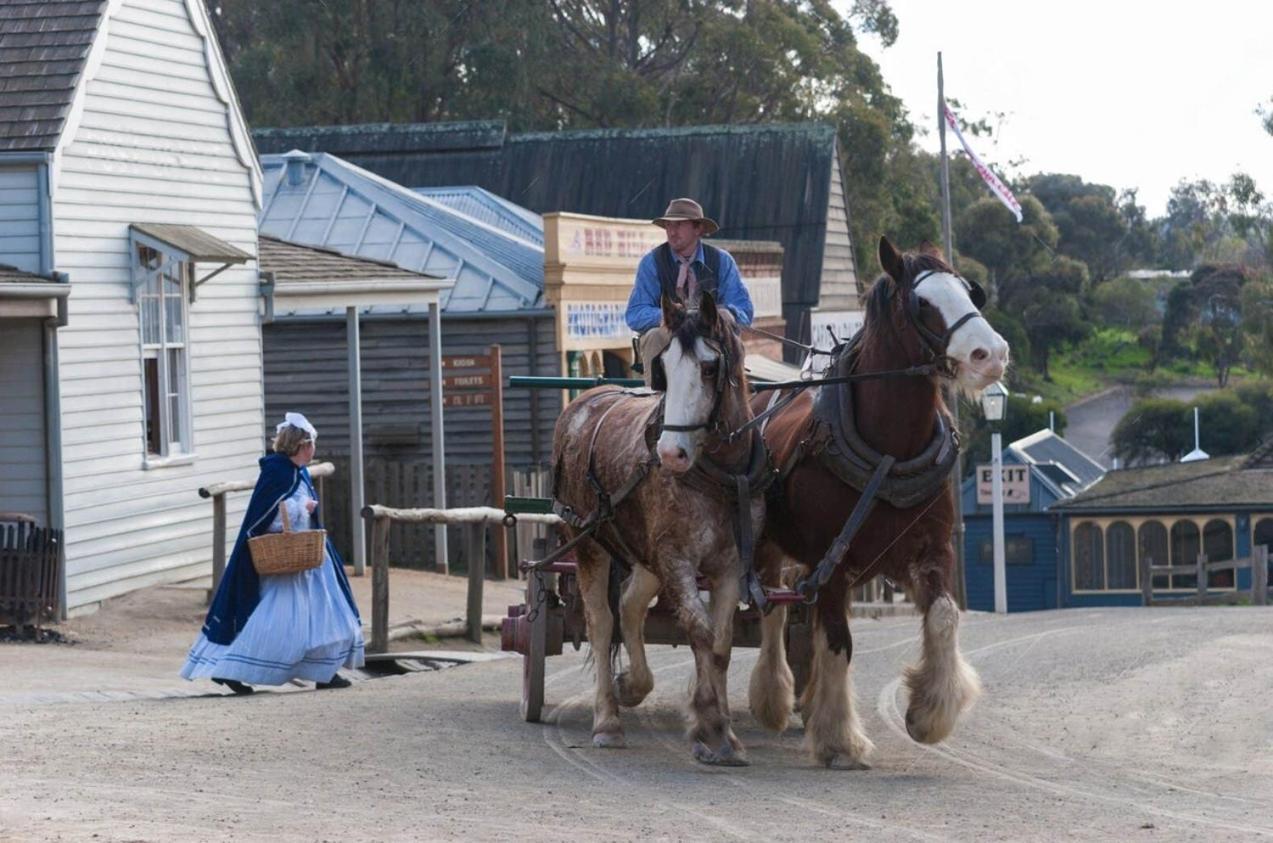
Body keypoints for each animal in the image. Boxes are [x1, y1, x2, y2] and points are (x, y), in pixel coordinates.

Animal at [549, 294, 763, 769]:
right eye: (663, 366)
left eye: (709, 367)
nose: (670, 453)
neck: (719, 475)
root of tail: (586, 399)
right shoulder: (677, 560)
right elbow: (699, 631)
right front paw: (708, 724)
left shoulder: (730, 567)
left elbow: (720, 644)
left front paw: (726, 735)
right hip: (590, 545)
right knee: (601, 621)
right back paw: (607, 721)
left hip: (644, 556)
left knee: (629, 606)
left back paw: (633, 685)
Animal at [748, 238, 1008, 774]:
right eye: (922, 303)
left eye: (970, 291)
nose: (990, 354)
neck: (891, 451)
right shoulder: (832, 562)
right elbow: (838, 642)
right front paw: (840, 740)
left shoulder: (932, 551)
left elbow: (944, 617)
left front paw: (930, 713)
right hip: (765, 546)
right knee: (770, 613)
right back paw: (774, 699)